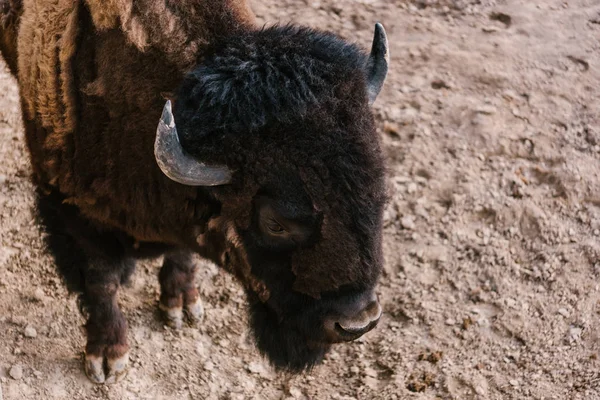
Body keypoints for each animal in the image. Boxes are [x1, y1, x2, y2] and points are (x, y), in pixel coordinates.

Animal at [0, 0, 390, 384]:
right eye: (275, 223)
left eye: (379, 190)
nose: (358, 322)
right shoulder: (73, 214)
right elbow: (101, 283)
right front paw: (107, 358)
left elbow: (181, 252)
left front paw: (181, 305)